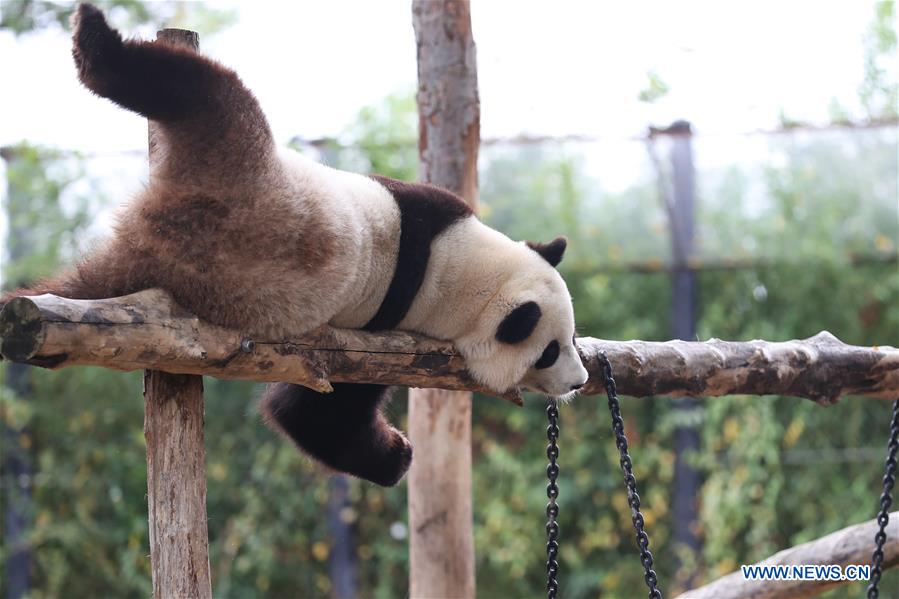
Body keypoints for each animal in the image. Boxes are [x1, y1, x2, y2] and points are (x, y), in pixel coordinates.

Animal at [7, 3, 589, 487]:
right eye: (551, 349)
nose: (580, 380)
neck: (455, 269)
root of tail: (163, 223)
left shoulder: (384, 333)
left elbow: (311, 416)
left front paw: (392, 456)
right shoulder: (408, 264)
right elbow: (313, 415)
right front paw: (398, 454)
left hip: (165, 243)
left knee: (85, 294)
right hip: (241, 151)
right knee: (201, 87)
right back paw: (94, 37)